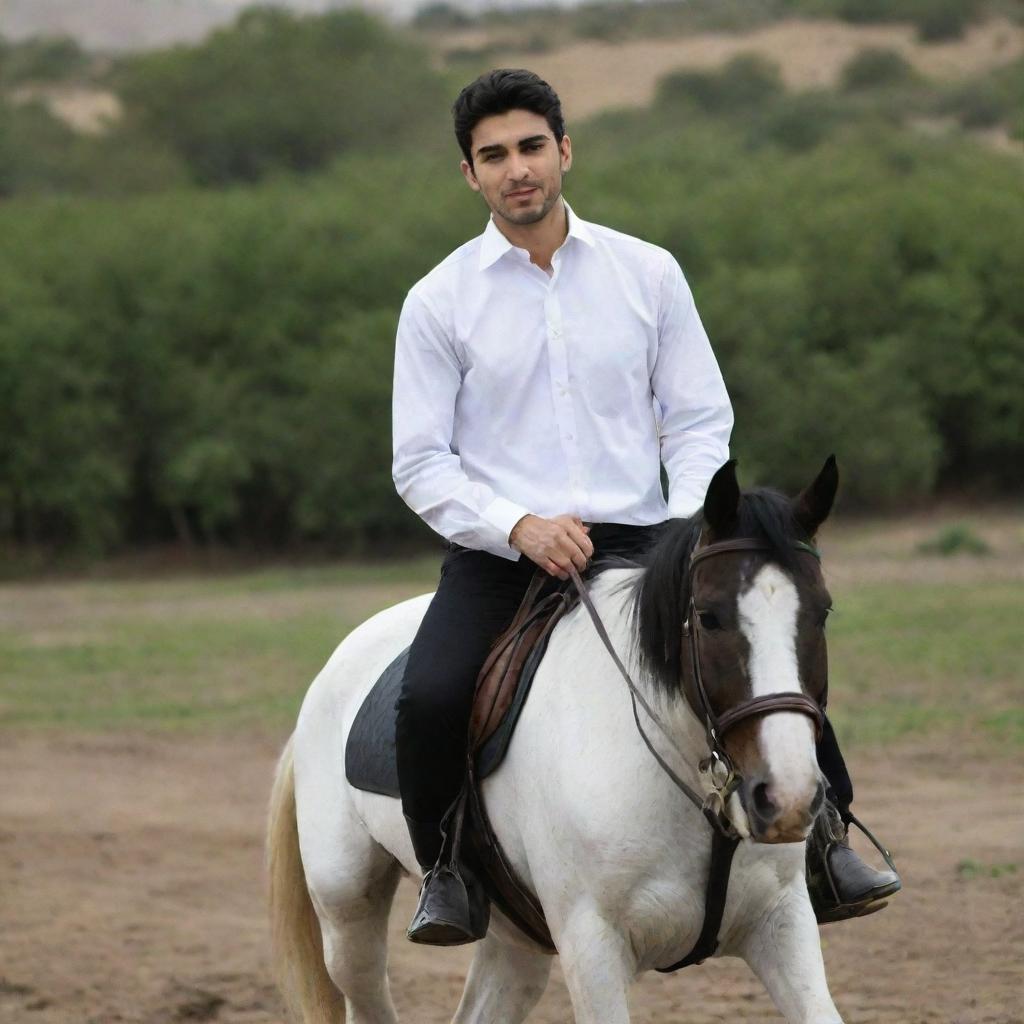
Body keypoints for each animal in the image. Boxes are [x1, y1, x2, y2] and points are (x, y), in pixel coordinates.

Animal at [268, 462, 843, 1024]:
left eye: (823, 612)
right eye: (709, 617)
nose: (787, 798)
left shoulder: (782, 921)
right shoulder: (592, 946)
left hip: (512, 941)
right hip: (346, 910)